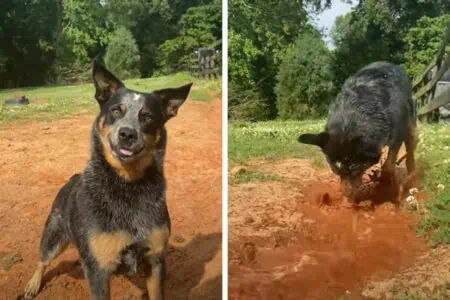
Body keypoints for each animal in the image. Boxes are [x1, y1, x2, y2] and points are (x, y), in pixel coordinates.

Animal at [22, 59, 192, 300]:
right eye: (116, 110)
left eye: (147, 116)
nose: (127, 134)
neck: (127, 186)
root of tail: (72, 179)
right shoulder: (98, 271)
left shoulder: (155, 259)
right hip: (54, 234)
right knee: (43, 259)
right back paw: (33, 284)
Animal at [298, 61, 418, 202]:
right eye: (334, 169)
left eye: (354, 167)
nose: (346, 194)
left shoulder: (397, 132)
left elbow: (389, 164)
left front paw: (386, 186)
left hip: (411, 123)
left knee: (411, 148)